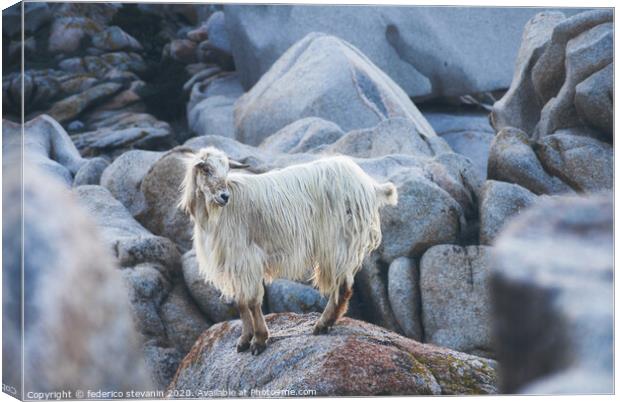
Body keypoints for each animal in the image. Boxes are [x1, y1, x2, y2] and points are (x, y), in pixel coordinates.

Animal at [179, 148, 398, 354]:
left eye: (227, 170)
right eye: (206, 169)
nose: (225, 196)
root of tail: (369, 185)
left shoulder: (247, 257)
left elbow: (252, 301)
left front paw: (259, 340)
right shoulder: (234, 262)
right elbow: (241, 302)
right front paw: (244, 340)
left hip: (339, 241)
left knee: (343, 286)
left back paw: (322, 324)